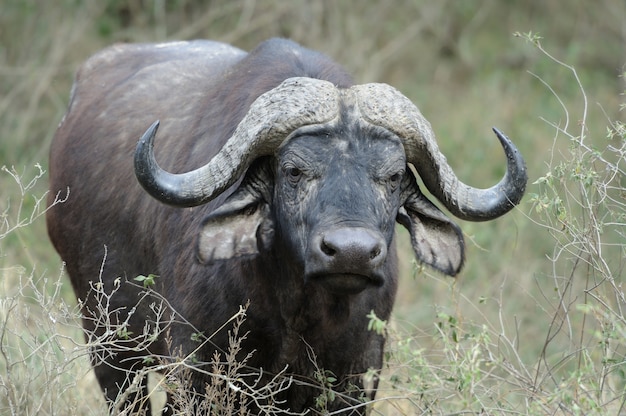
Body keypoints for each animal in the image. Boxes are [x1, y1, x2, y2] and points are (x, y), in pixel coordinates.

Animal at [46, 37, 524, 414]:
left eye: (392, 177)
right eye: (293, 171)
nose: (351, 252)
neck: (300, 312)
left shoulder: (358, 376)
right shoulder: (198, 369)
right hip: (109, 341)